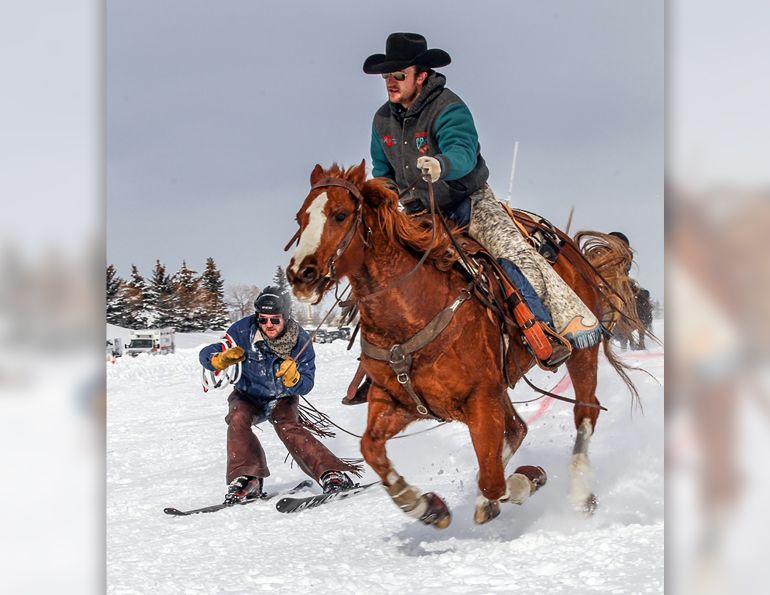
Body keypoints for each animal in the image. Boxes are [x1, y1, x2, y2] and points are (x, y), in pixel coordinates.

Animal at [286, 161, 637, 528]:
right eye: (300, 219)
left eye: (340, 215)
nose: (300, 275)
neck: (414, 310)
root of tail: (570, 248)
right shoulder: (396, 401)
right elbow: (371, 447)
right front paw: (422, 504)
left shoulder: (480, 397)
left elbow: (494, 480)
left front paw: (525, 480)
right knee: (517, 428)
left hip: (581, 352)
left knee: (585, 412)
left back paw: (580, 491)